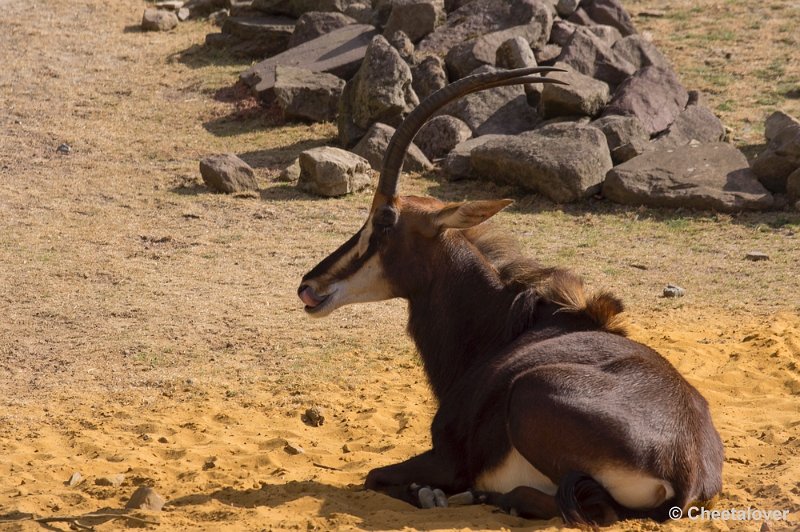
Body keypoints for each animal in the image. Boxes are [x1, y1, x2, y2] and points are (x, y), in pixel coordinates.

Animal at [296, 67, 720, 528]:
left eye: (384, 220)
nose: (309, 286)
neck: (505, 325)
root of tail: (687, 473)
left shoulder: (449, 459)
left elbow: (374, 476)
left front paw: (430, 494)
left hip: (528, 394)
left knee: (584, 508)